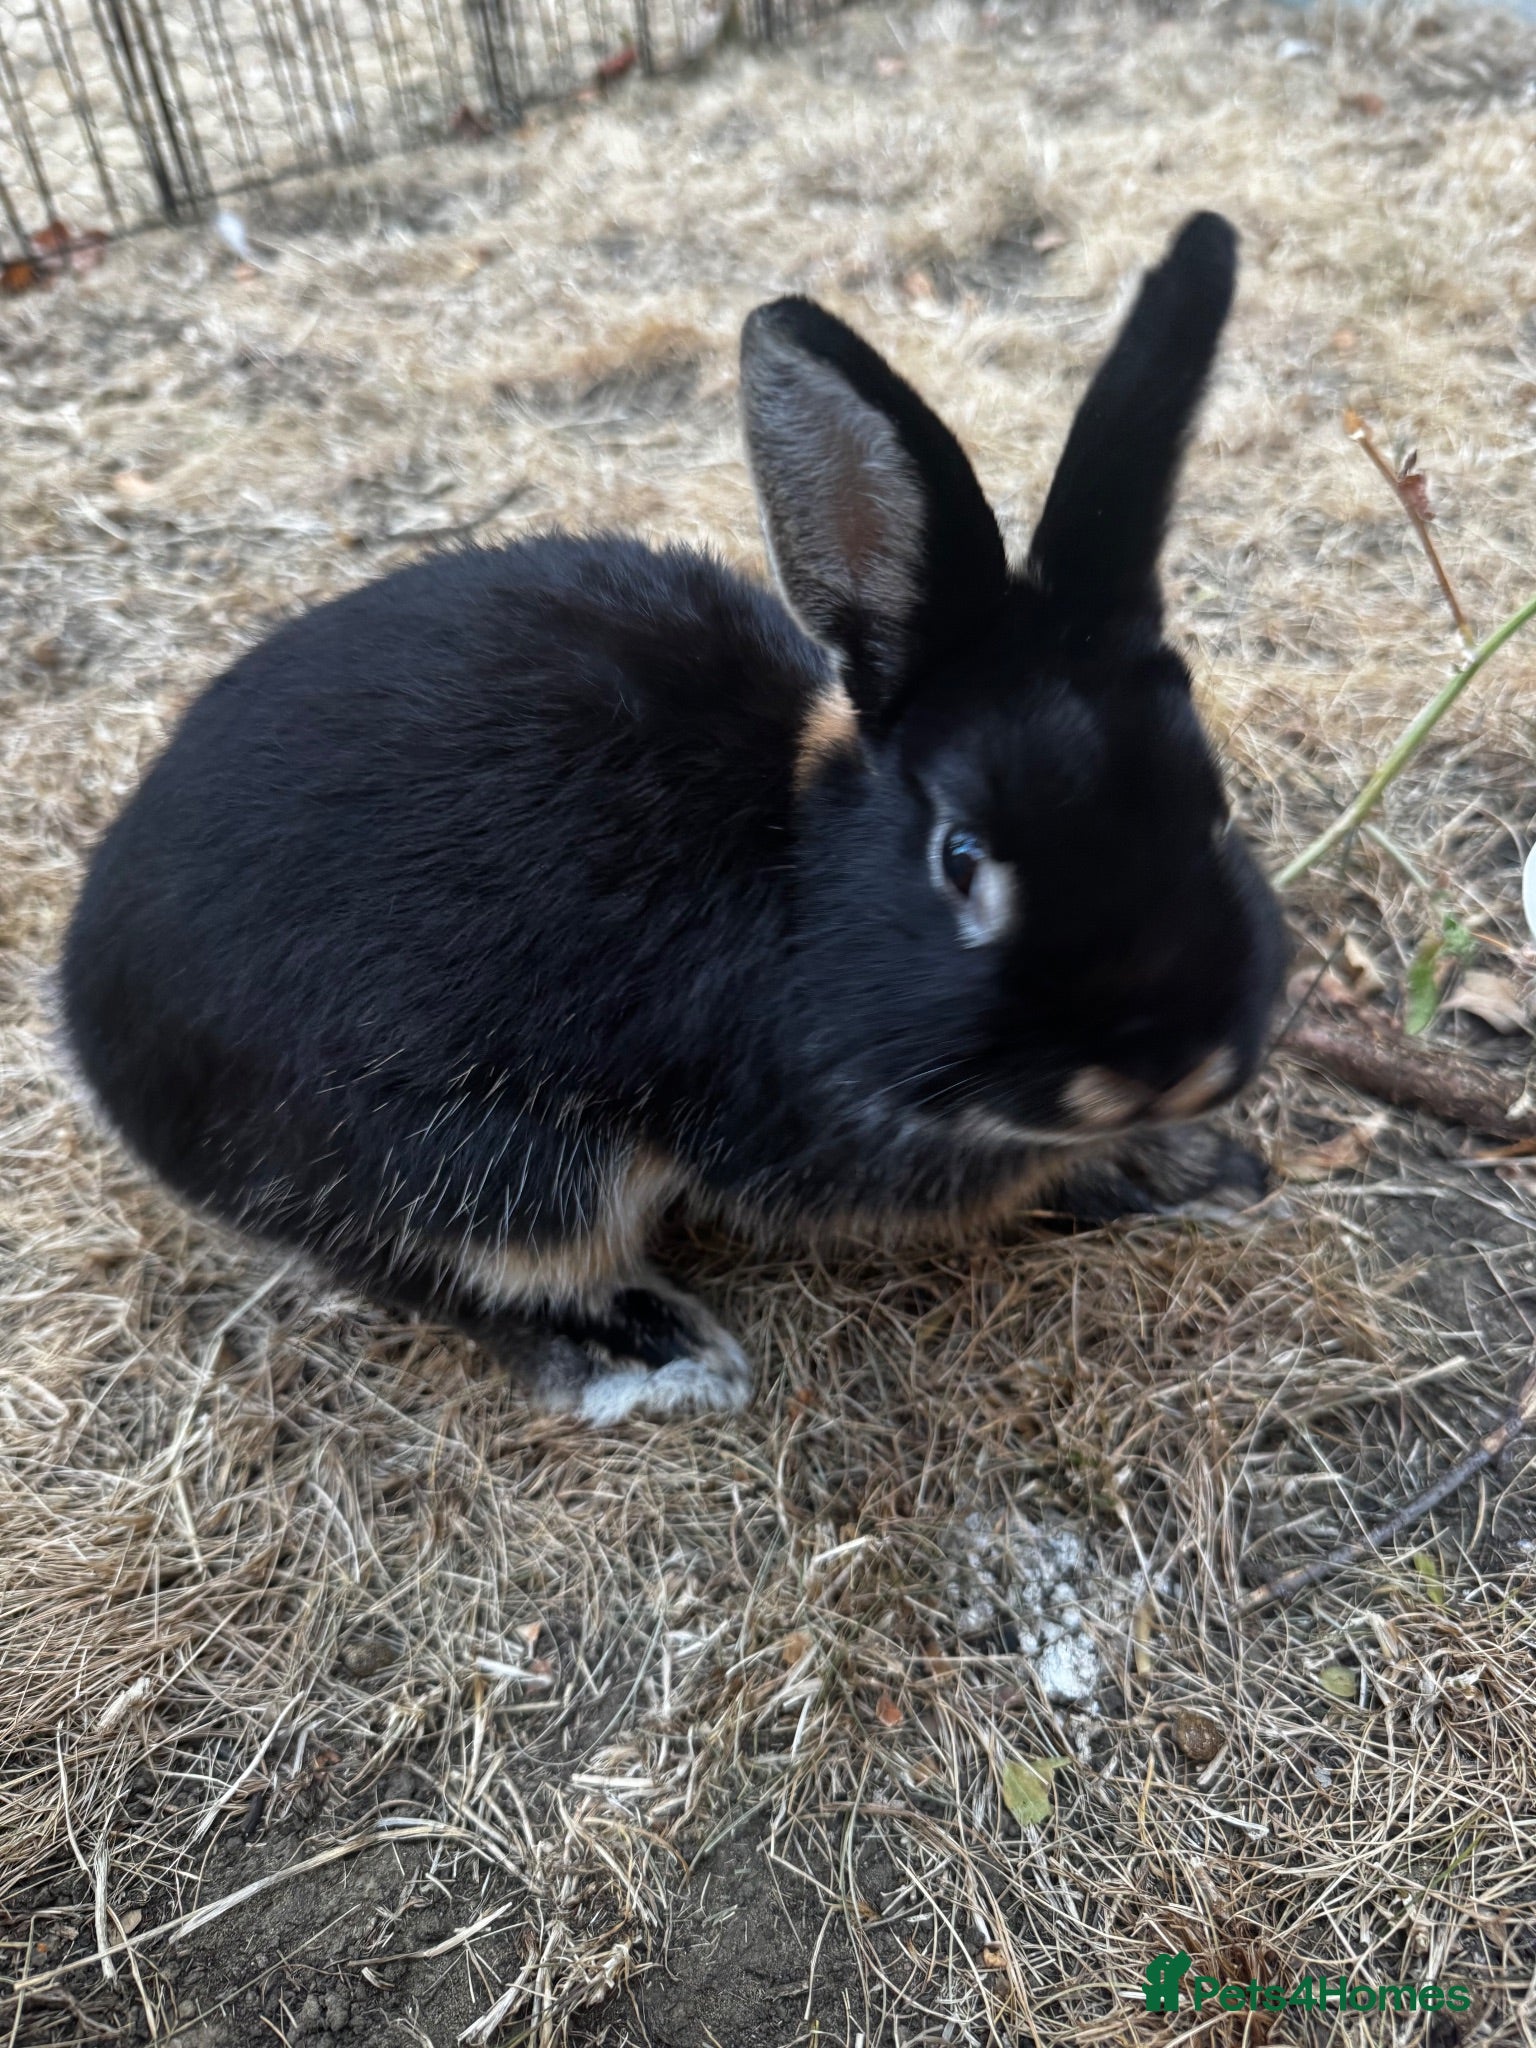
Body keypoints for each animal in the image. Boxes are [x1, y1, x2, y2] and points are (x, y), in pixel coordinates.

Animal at [62, 210, 1286, 1424]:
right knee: (447, 1268)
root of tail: (91, 1019)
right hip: (489, 1161)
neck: (798, 871)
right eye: (961, 855)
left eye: (1212, 804)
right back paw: (652, 1350)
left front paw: (1196, 1168)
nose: (1168, 1067)